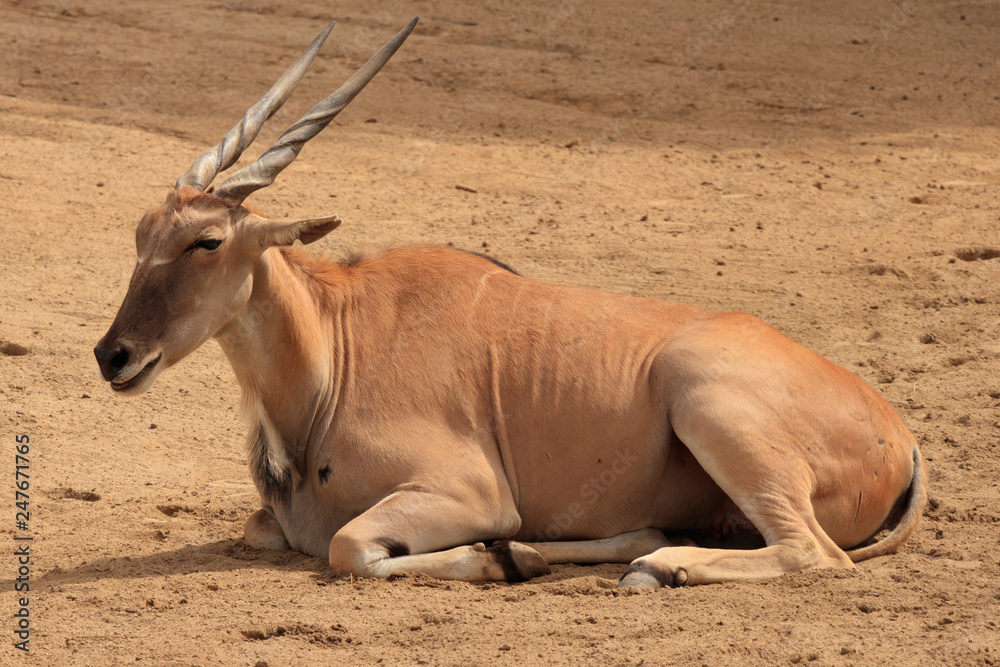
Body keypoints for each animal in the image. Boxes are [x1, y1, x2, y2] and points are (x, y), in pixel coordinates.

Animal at [94, 18, 926, 587]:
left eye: (206, 241)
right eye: (142, 232)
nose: (113, 354)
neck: (337, 350)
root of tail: (903, 436)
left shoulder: (466, 491)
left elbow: (348, 547)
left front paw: (493, 557)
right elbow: (267, 529)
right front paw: (514, 552)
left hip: (705, 398)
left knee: (812, 552)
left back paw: (654, 565)